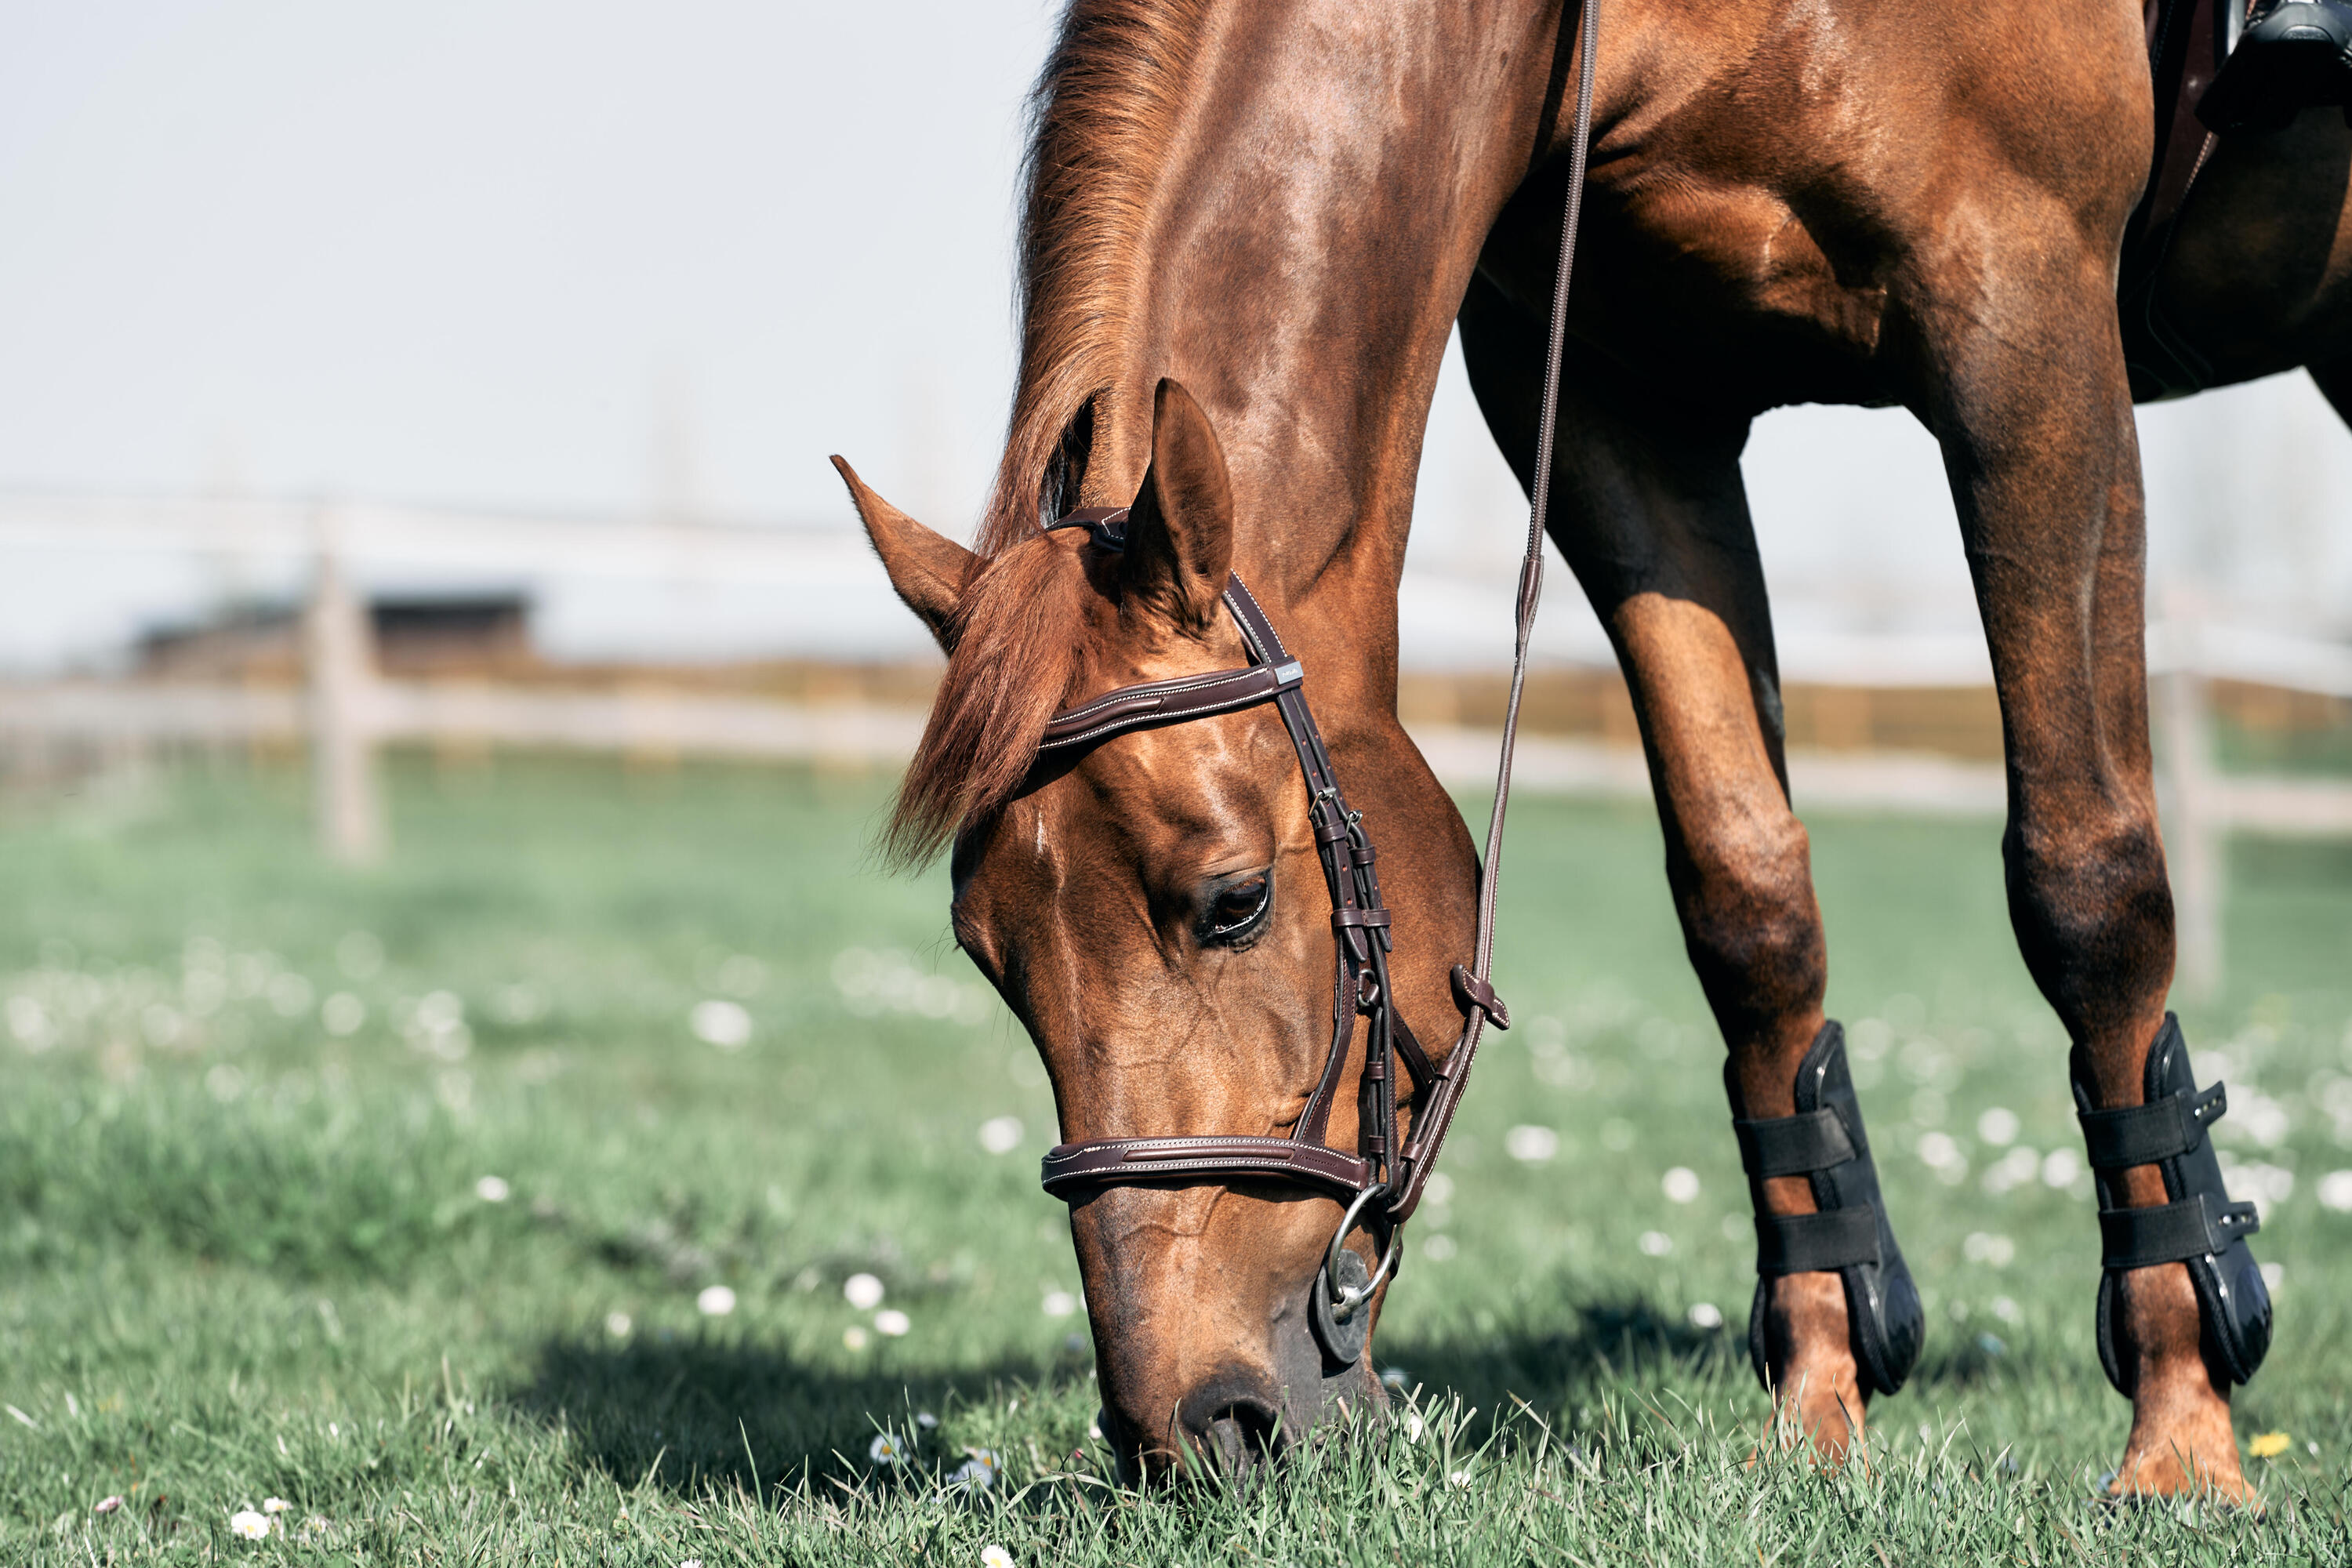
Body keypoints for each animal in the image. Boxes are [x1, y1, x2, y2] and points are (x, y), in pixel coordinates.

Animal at [834, 0, 2352, 1495]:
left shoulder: (2026, 324)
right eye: (986, 950)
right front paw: (1817, 1415)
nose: (1194, 1434)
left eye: (1234, 902)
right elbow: (1749, 903)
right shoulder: (1622, 407)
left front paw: (2182, 1433)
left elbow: (2089, 880)